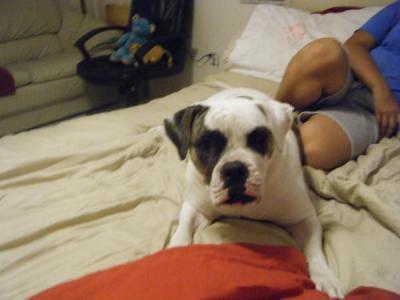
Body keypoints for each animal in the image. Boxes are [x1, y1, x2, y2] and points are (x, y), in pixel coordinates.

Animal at [164, 87, 342, 298]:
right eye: (206, 144)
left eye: (258, 139)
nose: (234, 169)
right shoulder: (196, 209)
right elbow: (182, 230)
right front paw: (173, 252)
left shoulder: (304, 219)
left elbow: (314, 250)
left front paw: (325, 276)